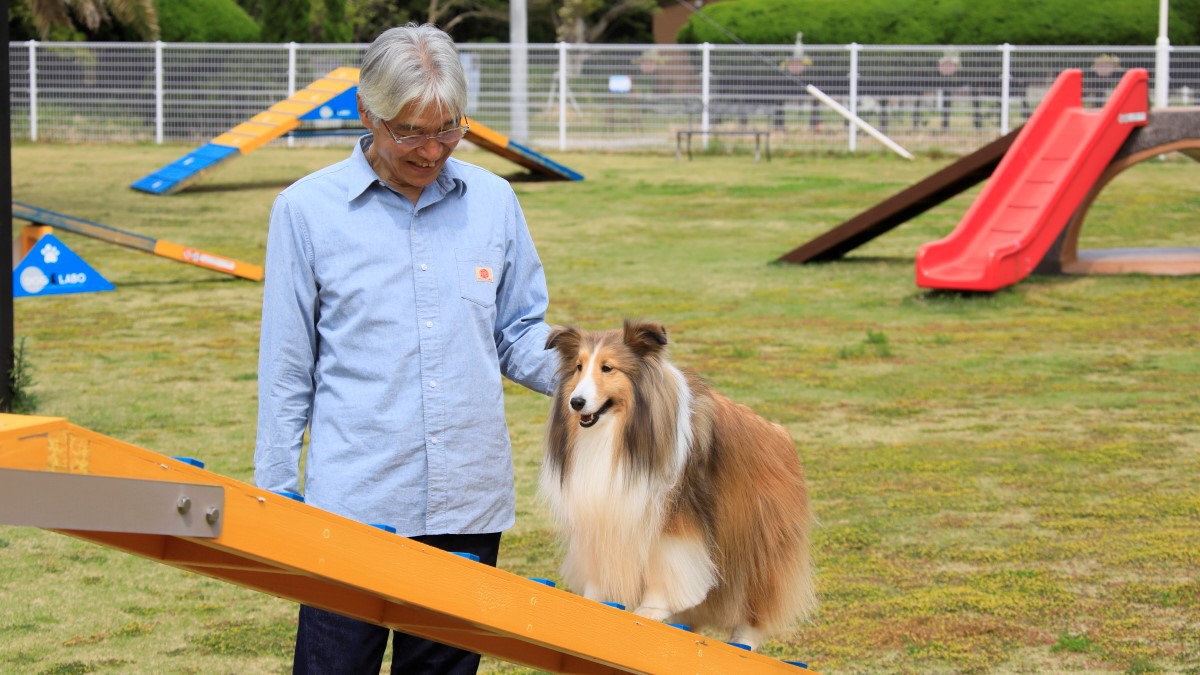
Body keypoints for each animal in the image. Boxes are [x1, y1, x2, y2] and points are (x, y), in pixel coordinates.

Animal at [542, 319, 816, 648]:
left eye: (607, 368)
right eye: (579, 367)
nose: (576, 402)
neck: (619, 436)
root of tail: (781, 435)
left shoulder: (675, 516)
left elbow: (667, 564)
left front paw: (651, 608)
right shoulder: (601, 508)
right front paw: (592, 599)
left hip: (756, 543)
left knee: (756, 600)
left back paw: (744, 640)